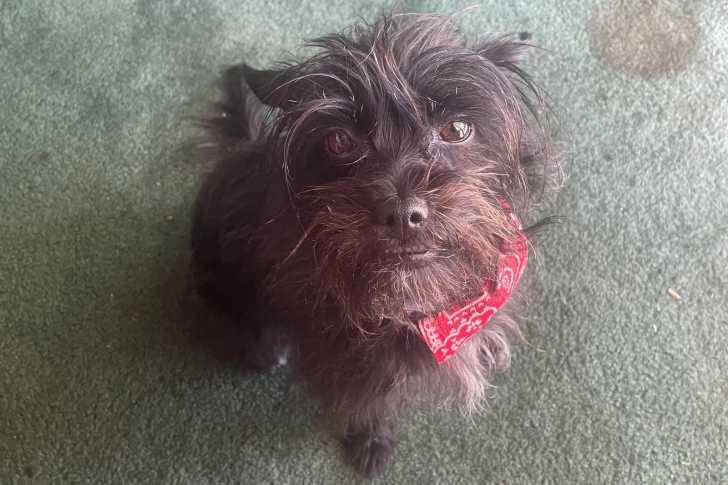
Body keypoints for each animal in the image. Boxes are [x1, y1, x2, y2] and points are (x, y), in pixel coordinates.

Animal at [189, 13, 558, 477]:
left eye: (457, 128)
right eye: (340, 140)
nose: (402, 213)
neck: (419, 306)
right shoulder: (348, 369)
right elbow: (368, 407)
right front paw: (371, 443)